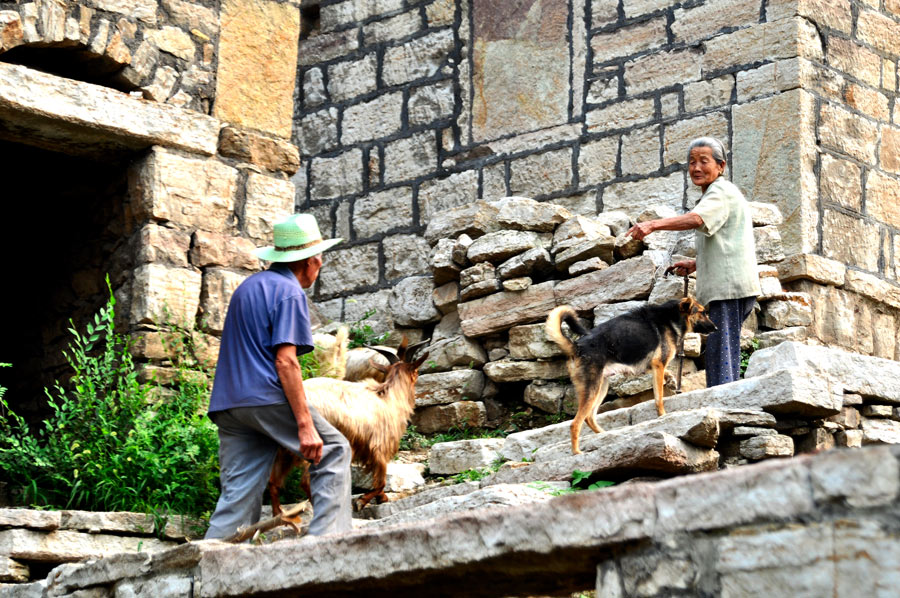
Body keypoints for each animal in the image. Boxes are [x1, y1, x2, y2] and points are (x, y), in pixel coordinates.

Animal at [268, 340, 428, 516]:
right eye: (417, 372)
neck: (388, 397)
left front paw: (381, 498)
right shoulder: (380, 446)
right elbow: (380, 481)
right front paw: (362, 501)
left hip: (282, 450)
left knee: (273, 483)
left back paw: (278, 515)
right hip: (318, 444)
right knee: (305, 481)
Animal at [548, 300, 716, 454]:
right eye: (702, 312)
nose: (716, 328)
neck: (672, 318)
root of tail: (576, 347)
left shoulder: (651, 367)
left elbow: (665, 377)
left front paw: (671, 380)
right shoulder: (658, 365)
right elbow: (659, 398)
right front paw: (662, 416)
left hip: (601, 386)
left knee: (589, 417)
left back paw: (604, 435)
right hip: (592, 389)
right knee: (575, 423)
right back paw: (577, 452)